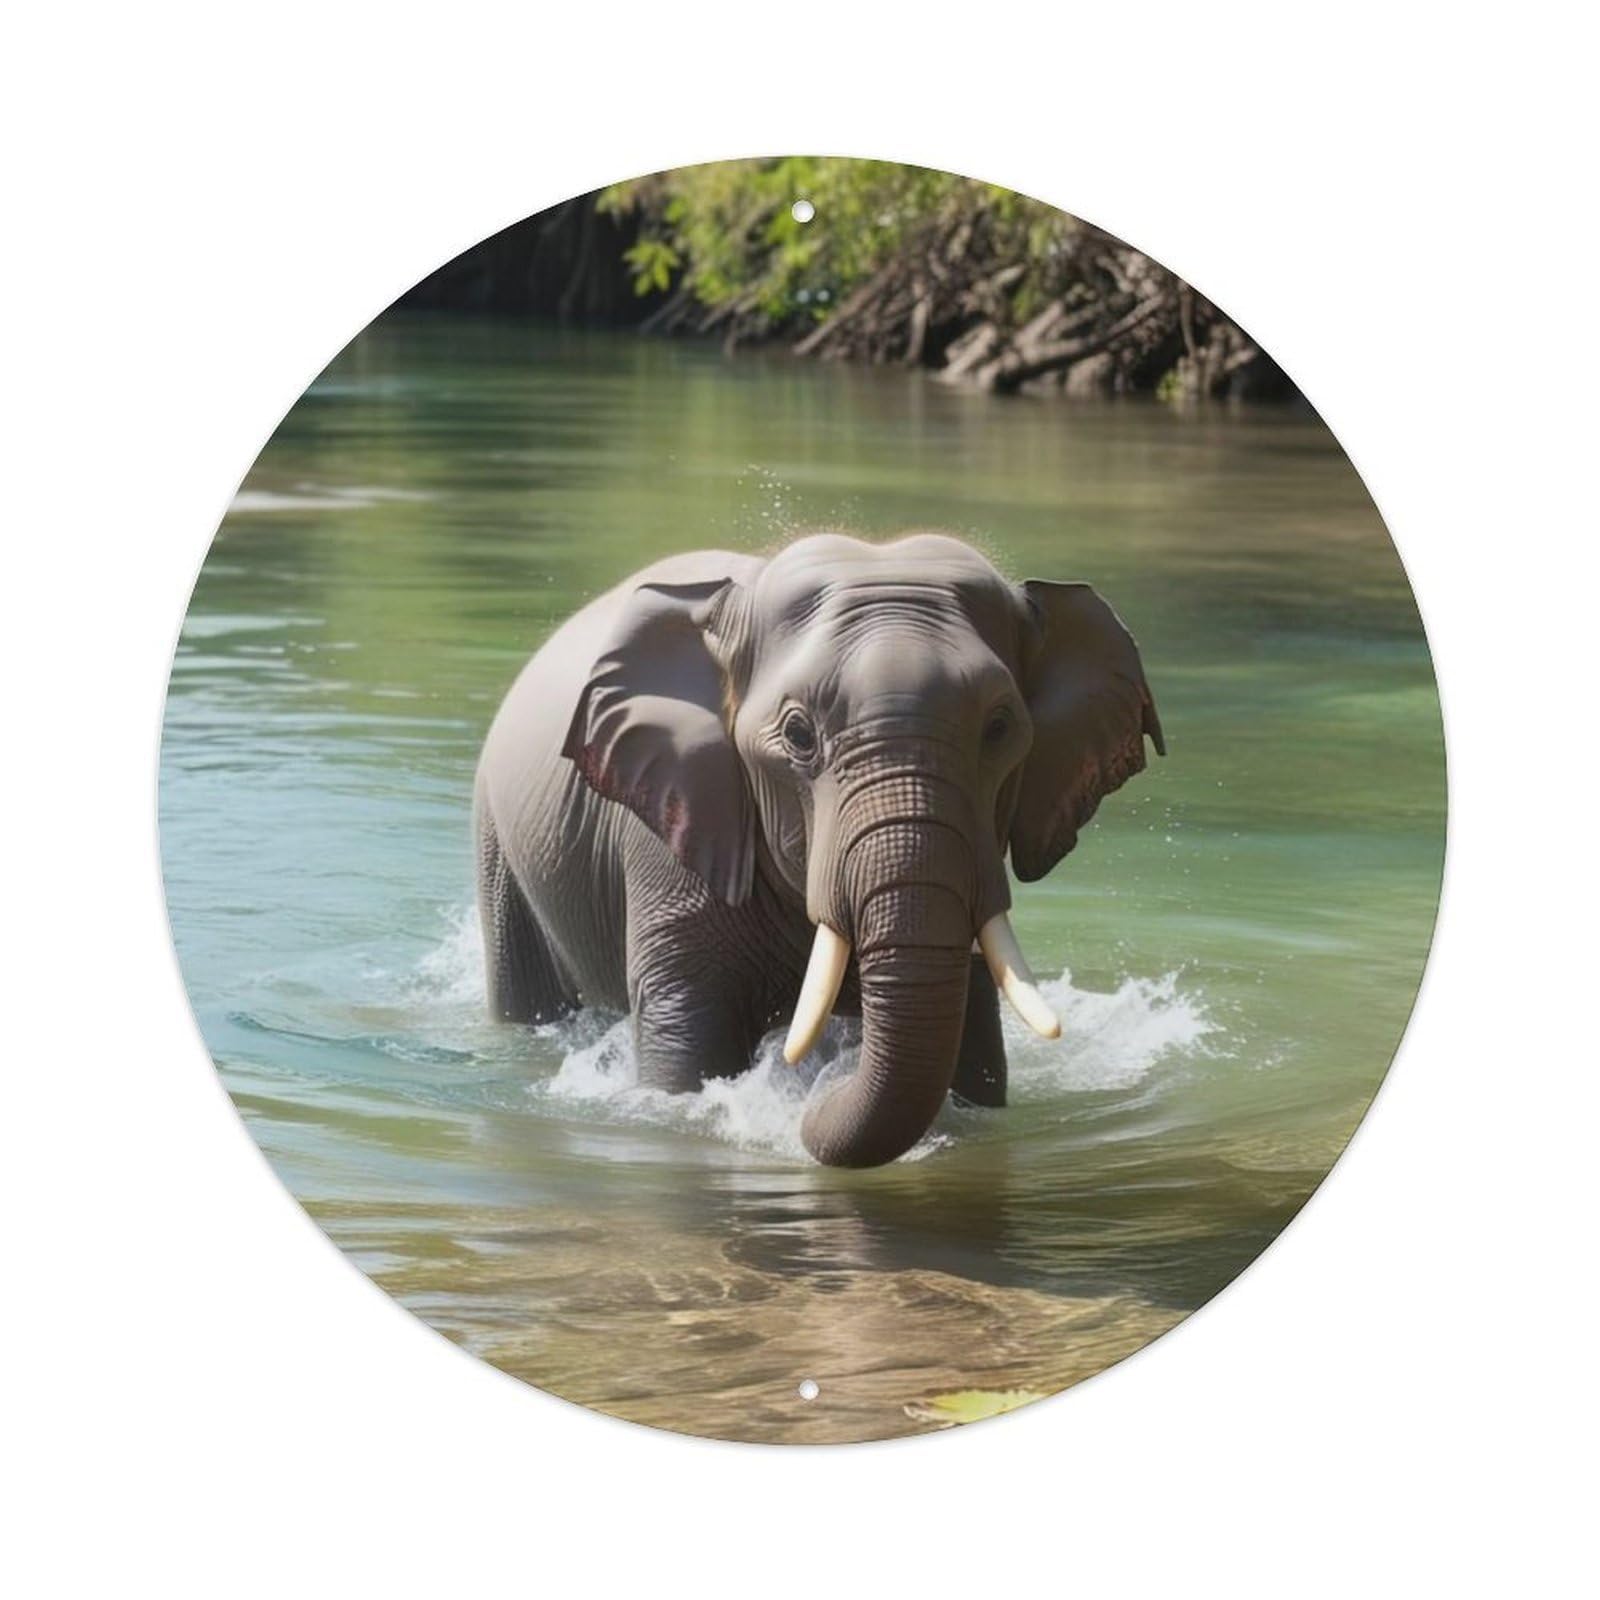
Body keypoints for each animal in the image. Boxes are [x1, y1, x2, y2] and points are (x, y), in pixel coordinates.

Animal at [474, 532, 1163, 1168]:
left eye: (1000, 729)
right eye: (799, 734)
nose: (811, 1107)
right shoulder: (670, 838)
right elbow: (684, 1033)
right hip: (498, 844)